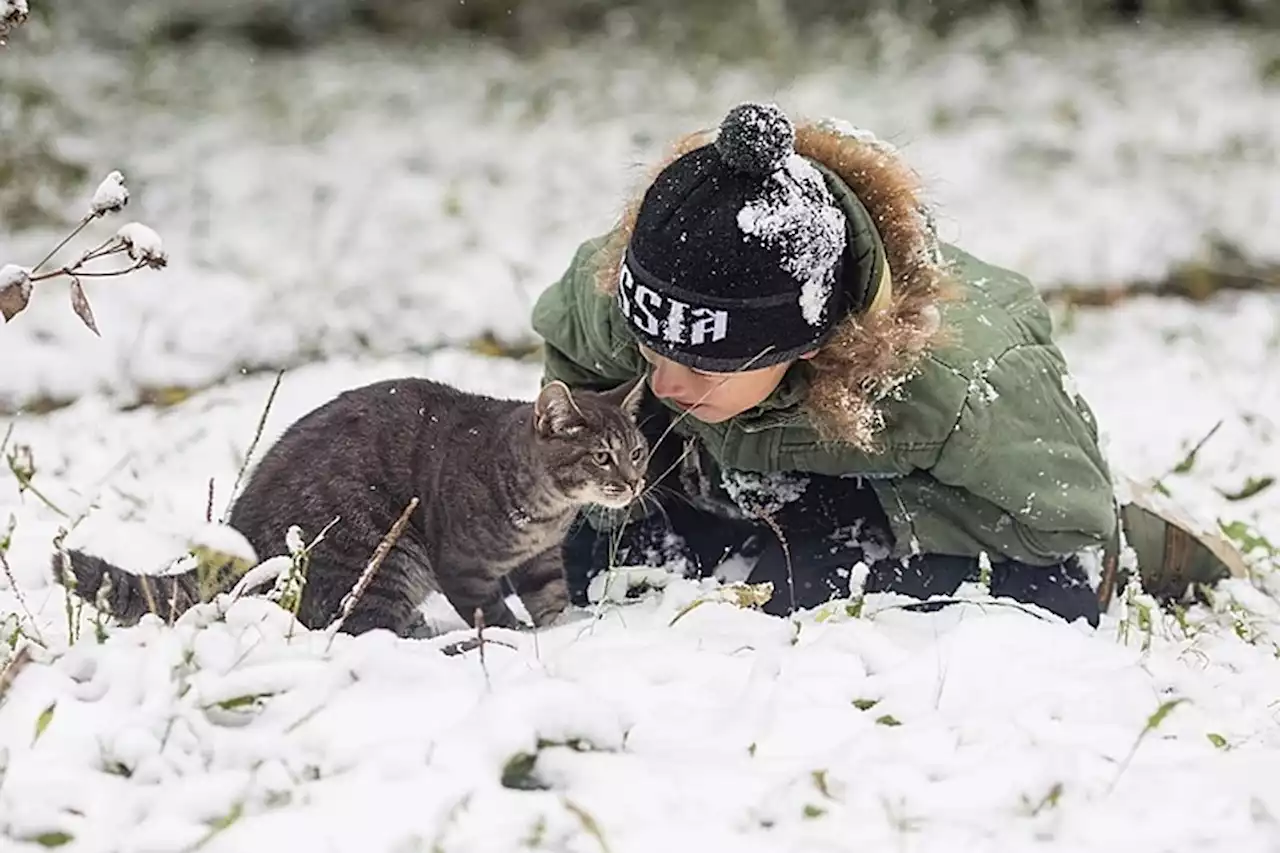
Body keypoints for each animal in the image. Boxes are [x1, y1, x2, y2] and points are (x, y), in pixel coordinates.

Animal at [53, 376, 645, 635]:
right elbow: (491, 612)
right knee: (357, 624)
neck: (545, 511)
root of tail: (240, 544)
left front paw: (563, 628)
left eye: (636, 451)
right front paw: (517, 636)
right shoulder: (463, 567)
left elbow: (551, 597)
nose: (635, 482)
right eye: (601, 456)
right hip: (379, 557)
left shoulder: (540, 560)